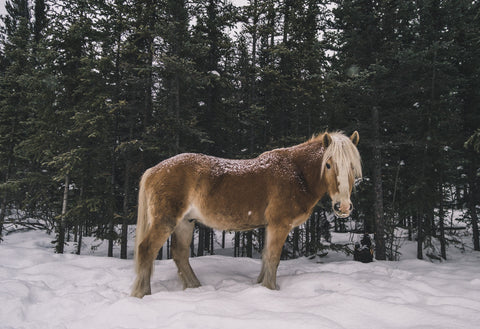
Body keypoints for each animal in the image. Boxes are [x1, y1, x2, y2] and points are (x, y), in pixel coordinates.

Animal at [129, 131, 362, 298]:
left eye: (352, 166)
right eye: (328, 164)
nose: (342, 207)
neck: (296, 173)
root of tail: (153, 170)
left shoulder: (270, 227)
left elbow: (266, 257)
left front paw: (260, 286)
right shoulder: (279, 225)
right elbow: (273, 258)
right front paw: (270, 289)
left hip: (185, 222)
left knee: (180, 254)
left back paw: (195, 287)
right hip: (166, 221)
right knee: (146, 249)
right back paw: (142, 293)